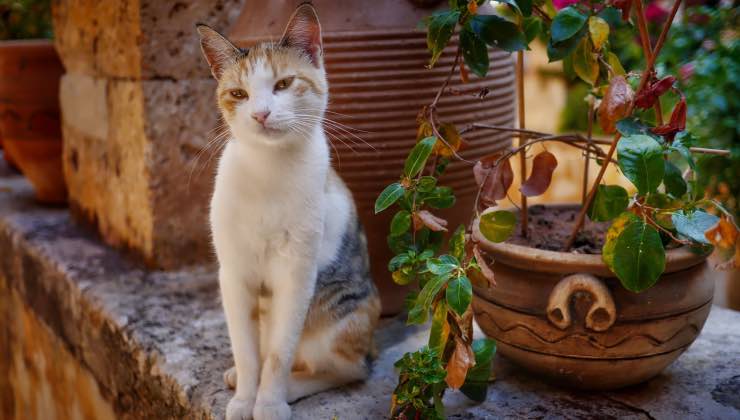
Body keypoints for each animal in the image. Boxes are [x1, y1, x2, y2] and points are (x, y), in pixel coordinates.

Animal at [197, 3, 382, 420]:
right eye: (239, 93)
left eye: (283, 85)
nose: (261, 114)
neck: (268, 169)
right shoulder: (233, 275)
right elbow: (248, 352)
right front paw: (244, 400)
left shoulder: (296, 275)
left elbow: (279, 356)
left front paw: (268, 403)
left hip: (340, 317)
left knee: (350, 369)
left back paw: (296, 385)